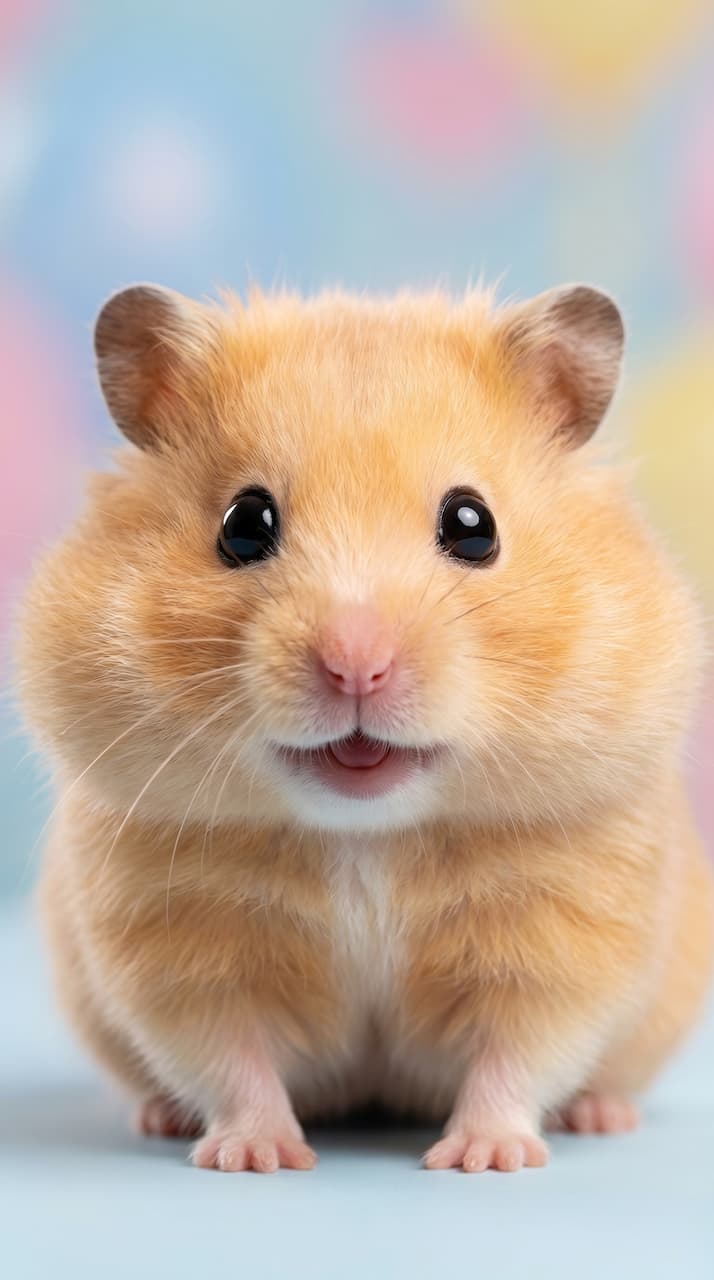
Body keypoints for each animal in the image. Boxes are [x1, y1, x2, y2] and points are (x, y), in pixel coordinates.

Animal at [16, 281, 713, 1174]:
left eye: (473, 525)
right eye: (244, 524)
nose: (355, 665)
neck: (364, 836)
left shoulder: (562, 936)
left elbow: (520, 1053)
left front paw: (484, 1158)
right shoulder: (178, 949)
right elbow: (228, 1058)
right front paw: (255, 1157)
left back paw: (600, 1115)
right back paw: (162, 1119)